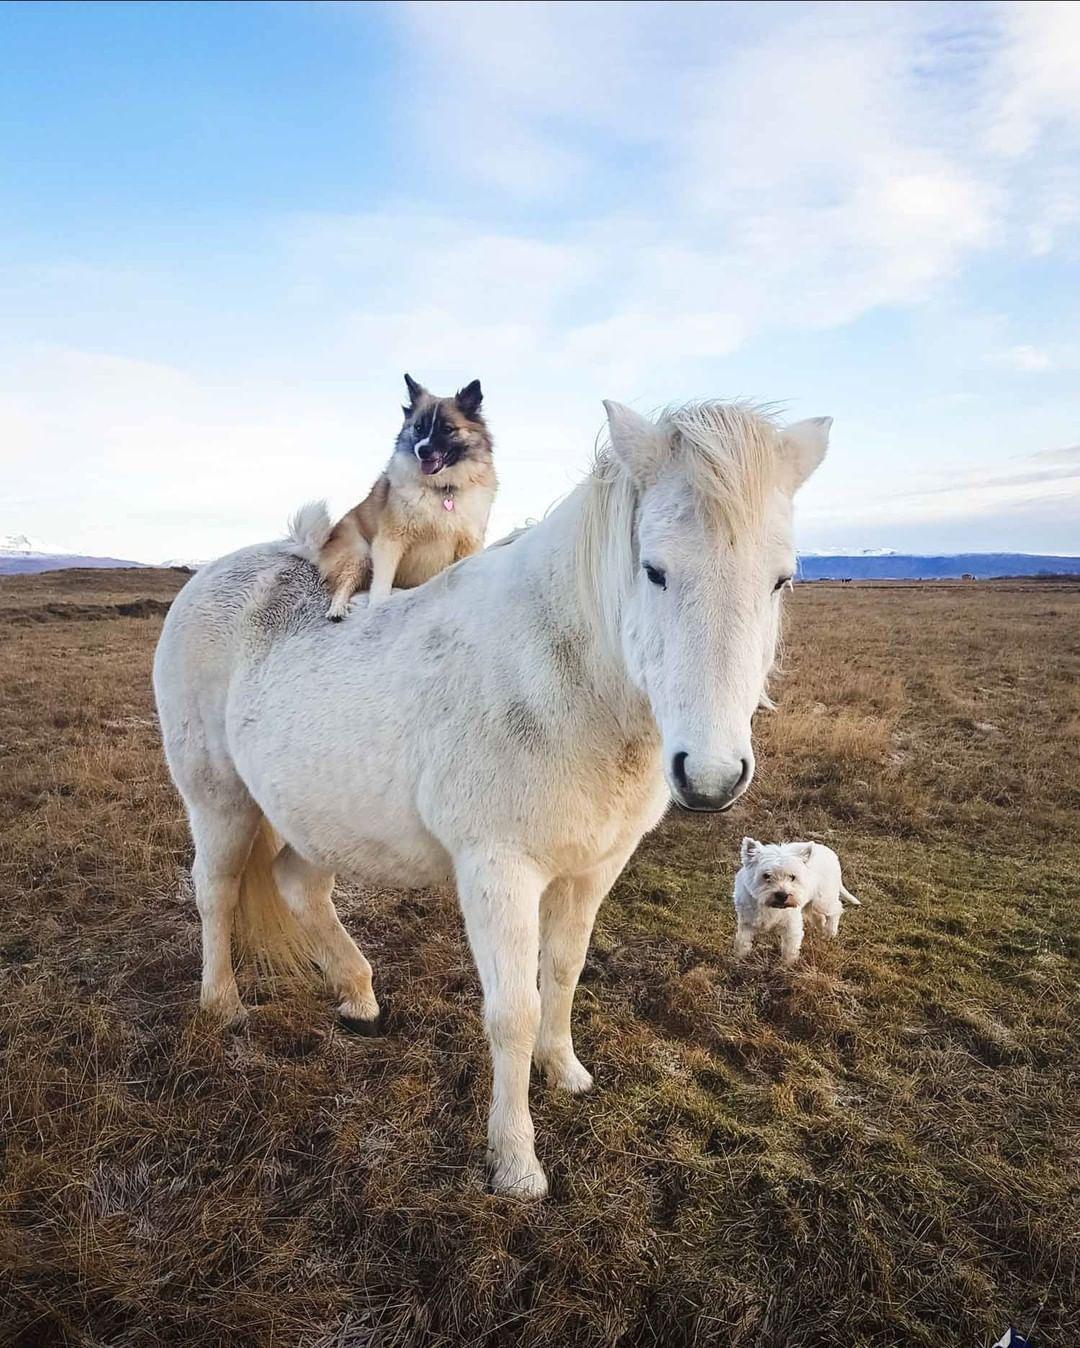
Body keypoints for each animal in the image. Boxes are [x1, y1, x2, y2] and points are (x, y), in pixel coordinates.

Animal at [314, 374, 496, 617]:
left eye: (447, 429)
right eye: (418, 427)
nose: (423, 450)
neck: (442, 489)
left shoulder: (469, 543)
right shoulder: (390, 541)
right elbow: (381, 583)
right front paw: (378, 606)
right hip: (359, 554)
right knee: (343, 586)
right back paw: (338, 609)